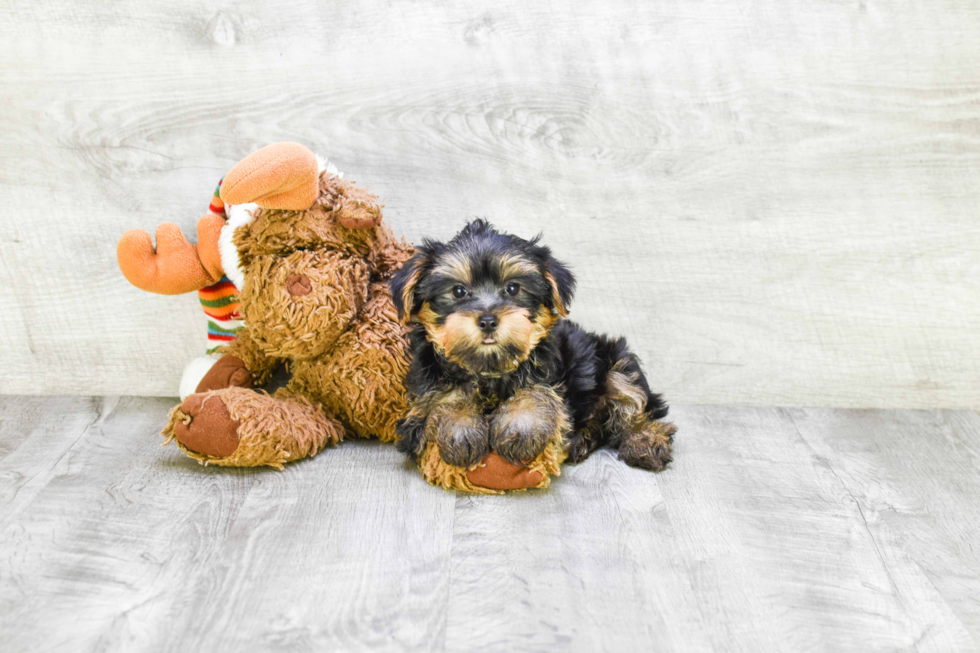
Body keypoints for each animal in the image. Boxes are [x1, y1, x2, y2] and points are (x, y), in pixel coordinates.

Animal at [386, 222, 676, 472]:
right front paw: (460, 428)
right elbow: (442, 401)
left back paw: (645, 441)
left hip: (617, 361)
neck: (489, 368)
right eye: (458, 292)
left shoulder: (548, 374)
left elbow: (536, 392)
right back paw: (584, 439)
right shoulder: (424, 393)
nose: (488, 320)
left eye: (513, 288)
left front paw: (520, 426)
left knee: (631, 402)